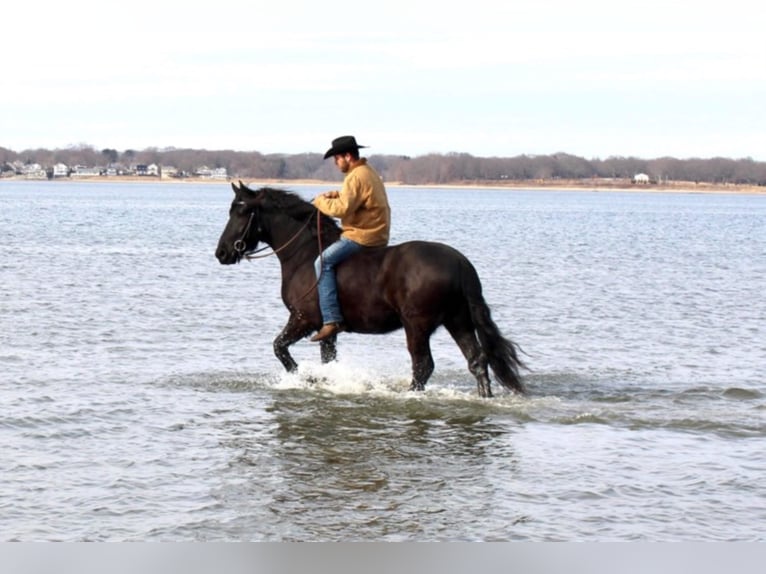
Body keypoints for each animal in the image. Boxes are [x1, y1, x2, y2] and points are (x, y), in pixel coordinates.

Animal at [216, 182, 528, 398]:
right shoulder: (327, 330)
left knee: (423, 366)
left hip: (417, 326)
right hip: (458, 321)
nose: (222, 253)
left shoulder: (304, 319)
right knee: (477, 361)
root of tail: (460, 263)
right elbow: (328, 360)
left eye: (242, 211)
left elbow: (279, 348)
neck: (304, 254)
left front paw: (307, 379)